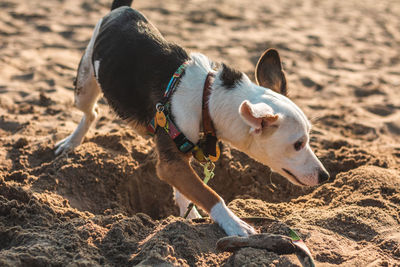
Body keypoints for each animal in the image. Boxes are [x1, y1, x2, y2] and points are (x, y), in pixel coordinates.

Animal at [55, 1, 328, 238]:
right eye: (298, 144)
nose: (325, 176)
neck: (207, 99)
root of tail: (122, 9)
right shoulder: (171, 163)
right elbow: (209, 194)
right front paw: (234, 223)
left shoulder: (179, 158)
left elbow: (187, 192)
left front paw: (191, 215)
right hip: (84, 85)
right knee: (91, 112)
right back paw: (71, 142)